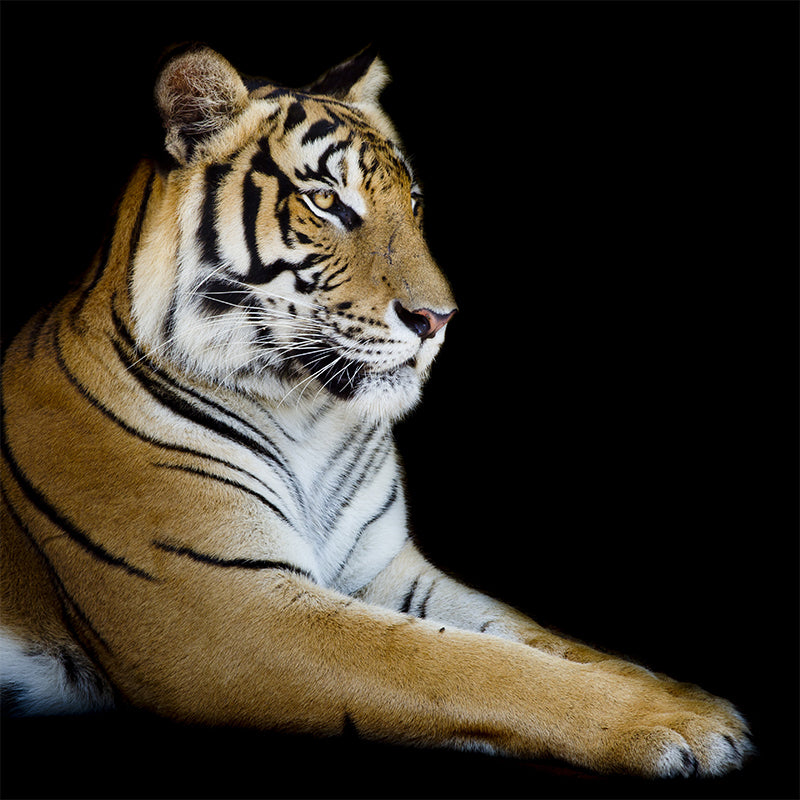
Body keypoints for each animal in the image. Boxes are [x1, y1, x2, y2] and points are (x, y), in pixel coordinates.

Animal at [0, 44, 752, 778]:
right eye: (326, 201)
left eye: (413, 202)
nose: (438, 319)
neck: (304, 413)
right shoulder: (227, 605)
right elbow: (464, 663)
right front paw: (679, 724)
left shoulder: (384, 567)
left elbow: (539, 637)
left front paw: (690, 698)